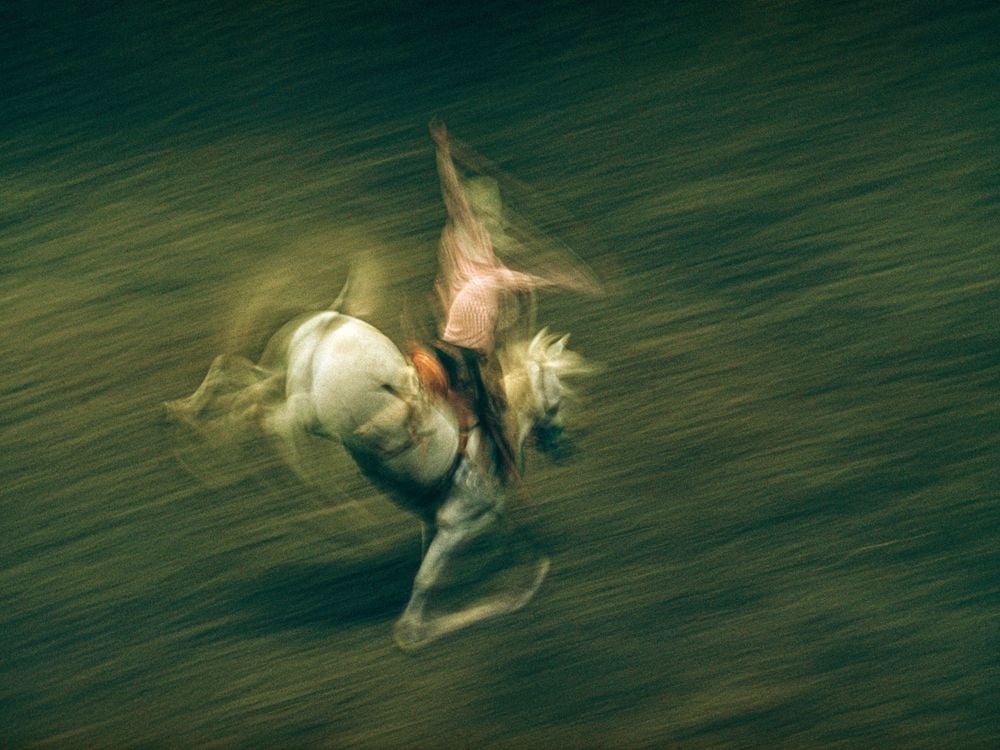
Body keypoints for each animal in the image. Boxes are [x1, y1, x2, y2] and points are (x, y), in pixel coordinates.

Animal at [167, 308, 584, 648]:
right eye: (559, 396)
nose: (565, 445)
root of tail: (331, 324)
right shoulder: (459, 521)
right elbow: (428, 580)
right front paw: (422, 630)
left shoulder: (439, 519)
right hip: (318, 415)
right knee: (267, 418)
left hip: (288, 381)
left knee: (243, 381)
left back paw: (193, 426)